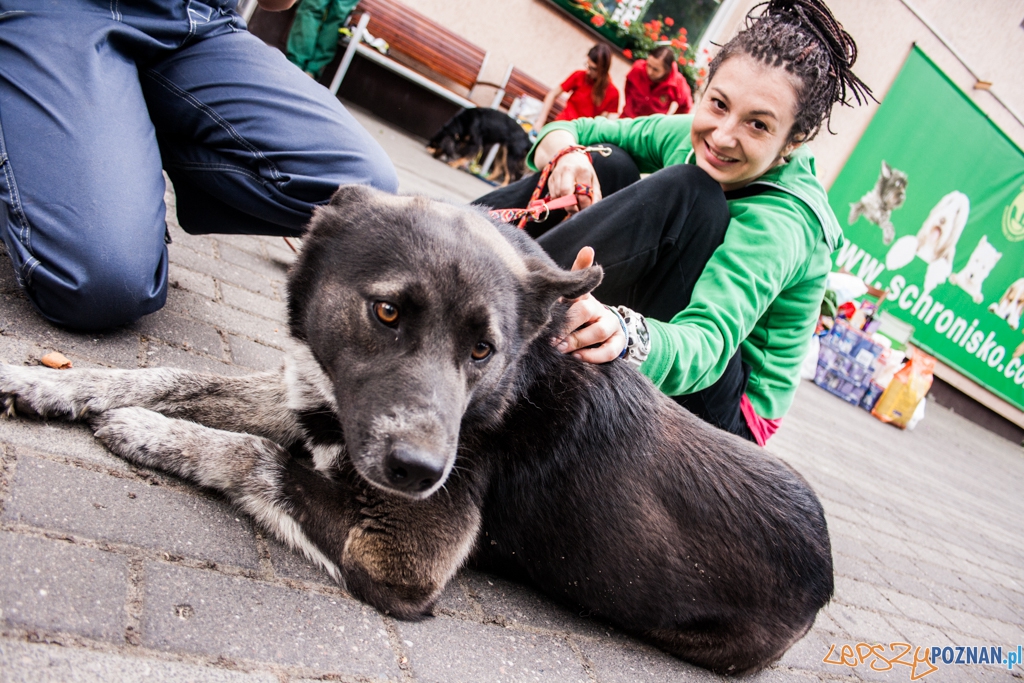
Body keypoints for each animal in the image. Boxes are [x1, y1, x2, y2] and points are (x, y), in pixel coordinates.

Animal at [0, 184, 831, 675]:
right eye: (388, 310)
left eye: (483, 350)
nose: (420, 471)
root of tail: (826, 575)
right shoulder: (316, 401)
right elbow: (173, 378)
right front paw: (49, 384)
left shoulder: (408, 558)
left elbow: (256, 455)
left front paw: (143, 430)